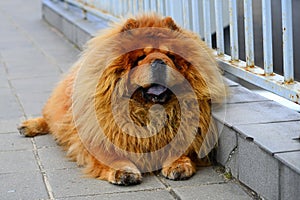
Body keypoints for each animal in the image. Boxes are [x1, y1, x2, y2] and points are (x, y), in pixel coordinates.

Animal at [18, 13, 225, 186]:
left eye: (170, 56)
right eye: (141, 57)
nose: (159, 61)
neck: (147, 114)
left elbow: (178, 148)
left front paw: (178, 165)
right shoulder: (99, 136)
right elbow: (111, 156)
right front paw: (124, 172)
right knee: (51, 119)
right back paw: (28, 126)